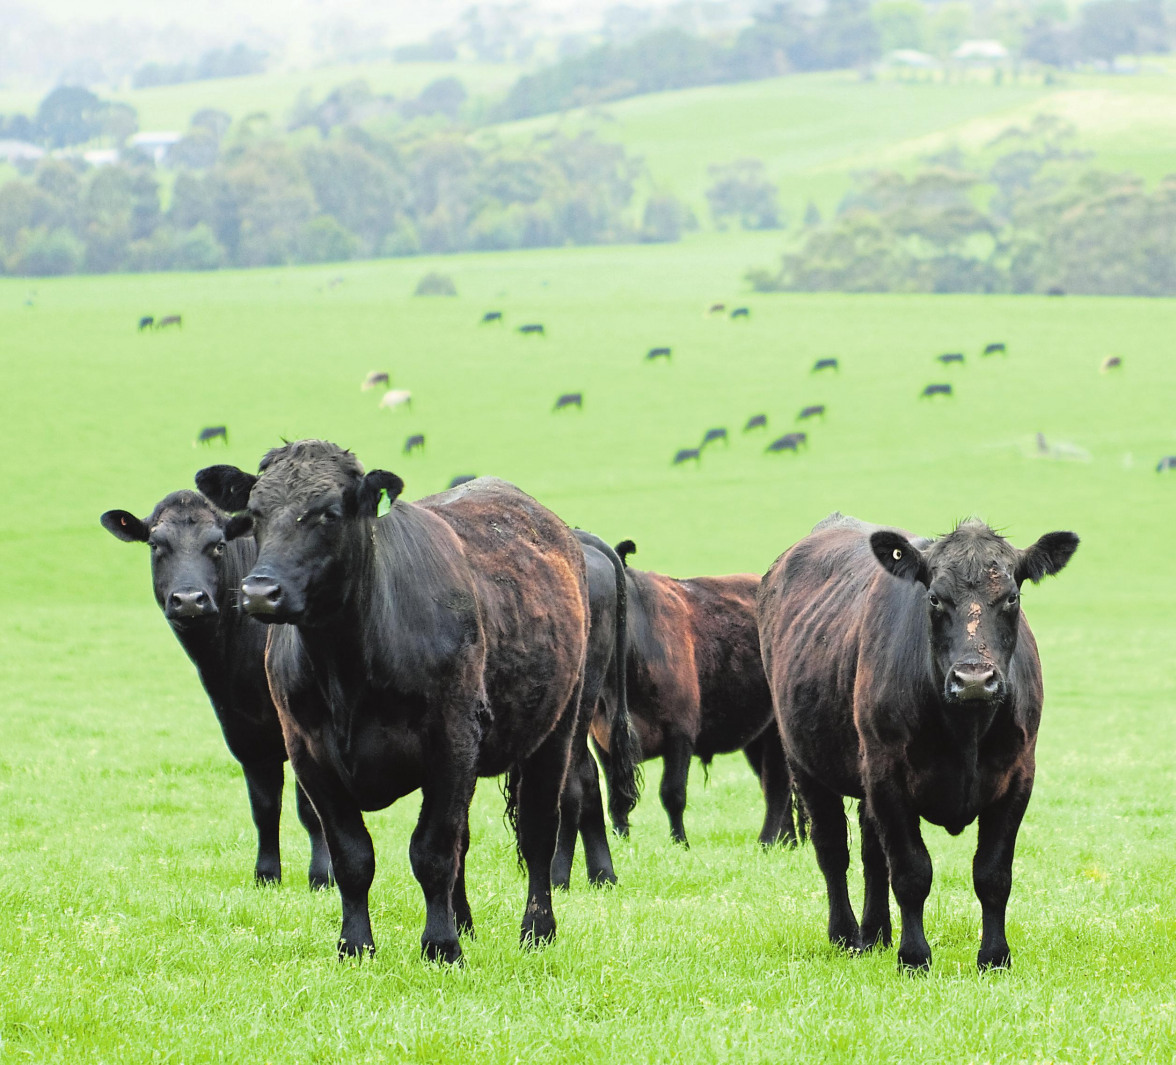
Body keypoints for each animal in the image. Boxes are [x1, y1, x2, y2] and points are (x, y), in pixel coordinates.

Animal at [99, 491, 331, 888]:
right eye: (156, 545)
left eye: (218, 545)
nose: (190, 599)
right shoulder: (242, 728)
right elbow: (264, 806)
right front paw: (266, 875)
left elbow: (311, 808)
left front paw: (323, 876)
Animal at [197, 439, 630, 963]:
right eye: (255, 513)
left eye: (328, 514)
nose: (260, 591)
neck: (346, 670)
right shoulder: (309, 754)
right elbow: (353, 856)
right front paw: (356, 945)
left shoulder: (451, 741)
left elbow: (433, 851)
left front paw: (440, 946)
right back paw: (465, 922)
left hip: (559, 727)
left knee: (539, 830)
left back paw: (536, 930)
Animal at [588, 540, 799, 846]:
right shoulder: (602, 738)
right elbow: (616, 795)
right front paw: (621, 840)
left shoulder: (680, 732)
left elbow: (672, 793)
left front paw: (680, 843)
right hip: (756, 736)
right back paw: (788, 842)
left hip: (775, 731)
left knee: (777, 785)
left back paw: (767, 842)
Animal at [757, 510, 1077, 968]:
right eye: (935, 599)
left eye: (1012, 597)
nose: (974, 679)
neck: (966, 731)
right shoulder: (887, 775)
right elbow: (911, 872)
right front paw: (914, 957)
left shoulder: (1018, 776)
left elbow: (993, 874)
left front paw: (995, 957)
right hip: (805, 762)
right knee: (833, 849)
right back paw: (846, 935)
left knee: (872, 854)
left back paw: (876, 933)